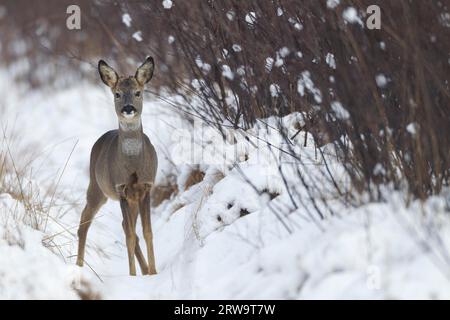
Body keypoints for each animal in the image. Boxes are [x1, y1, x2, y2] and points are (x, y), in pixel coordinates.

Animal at [75, 57, 156, 276]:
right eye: (117, 93)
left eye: (138, 92)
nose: (128, 108)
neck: (133, 165)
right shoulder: (121, 189)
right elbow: (129, 236)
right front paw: (132, 275)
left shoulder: (146, 186)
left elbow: (147, 232)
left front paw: (153, 272)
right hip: (96, 187)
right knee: (84, 222)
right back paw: (78, 265)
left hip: (130, 198)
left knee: (127, 227)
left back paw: (145, 269)